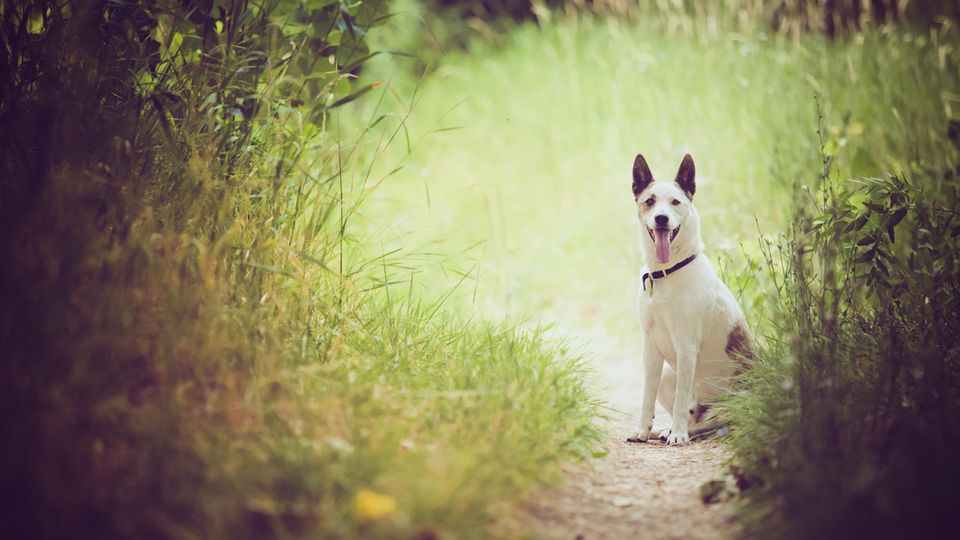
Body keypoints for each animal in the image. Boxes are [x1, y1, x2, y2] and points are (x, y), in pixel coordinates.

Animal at [628, 154, 752, 446]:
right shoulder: (650, 347)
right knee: (691, 413)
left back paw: (677, 431)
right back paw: (660, 429)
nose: (661, 218)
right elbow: (647, 397)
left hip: (733, 402)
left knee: (703, 422)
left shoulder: (686, 346)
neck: (666, 272)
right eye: (650, 201)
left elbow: (680, 400)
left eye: (676, 202)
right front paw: (642, 430)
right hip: (667, 374)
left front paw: (678, 434)